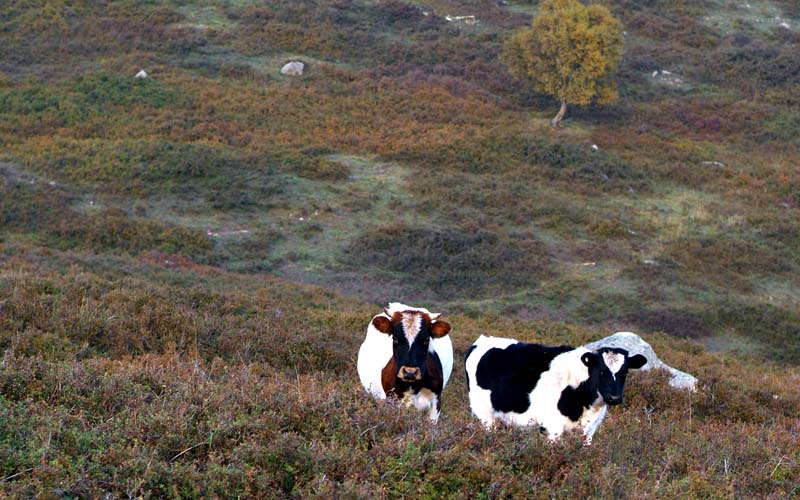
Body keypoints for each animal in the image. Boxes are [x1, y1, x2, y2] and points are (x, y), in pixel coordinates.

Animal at [466, 336, 648, 442]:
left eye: (625, 372)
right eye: (602, 371)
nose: (614, 398)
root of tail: (483, 339)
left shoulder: (589, 431)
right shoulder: (554, 428)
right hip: (485, 415)